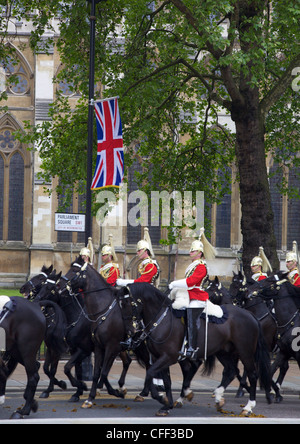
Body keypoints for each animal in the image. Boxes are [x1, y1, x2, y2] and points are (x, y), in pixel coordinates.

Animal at [118, 280, 272, 416]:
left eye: (127, 303)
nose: (130, 331)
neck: (162, 320)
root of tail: (249, 314)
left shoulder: (169, 357)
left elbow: (150, 373)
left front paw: (162, 399)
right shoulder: (159, 357)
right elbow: (166, 381)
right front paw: (167, 405)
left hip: (245, 352)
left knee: (252, 374)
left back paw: (248, 407)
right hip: (223, 352)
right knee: (231, 371)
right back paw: (218, 398)